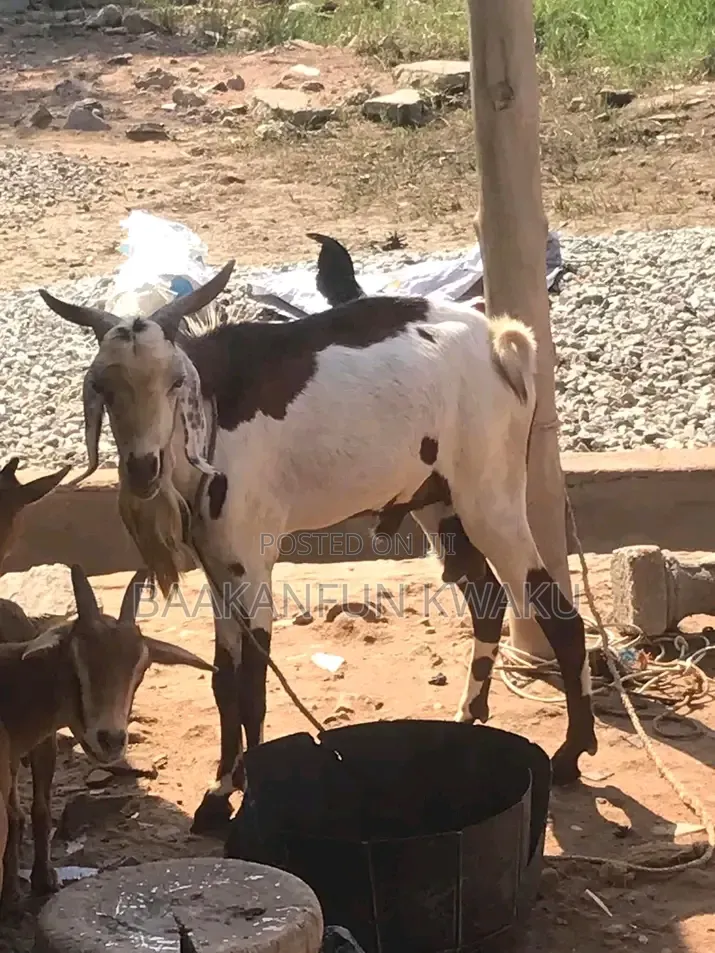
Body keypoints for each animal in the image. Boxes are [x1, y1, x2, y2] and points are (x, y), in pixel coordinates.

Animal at [39, 262, 597, 836]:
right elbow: (223, 682)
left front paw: (240, 796)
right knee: (487, 598)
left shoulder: (252, 569)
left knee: (557, 613)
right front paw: (222, 788)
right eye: (103, 386)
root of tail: (502, 341)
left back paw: (570, 756)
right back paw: (469, 715)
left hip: (490, 499)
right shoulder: (219, 573)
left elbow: (252, 689)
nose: (142, 468)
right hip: (439, 503)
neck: (212, 411)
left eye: (174, 381)